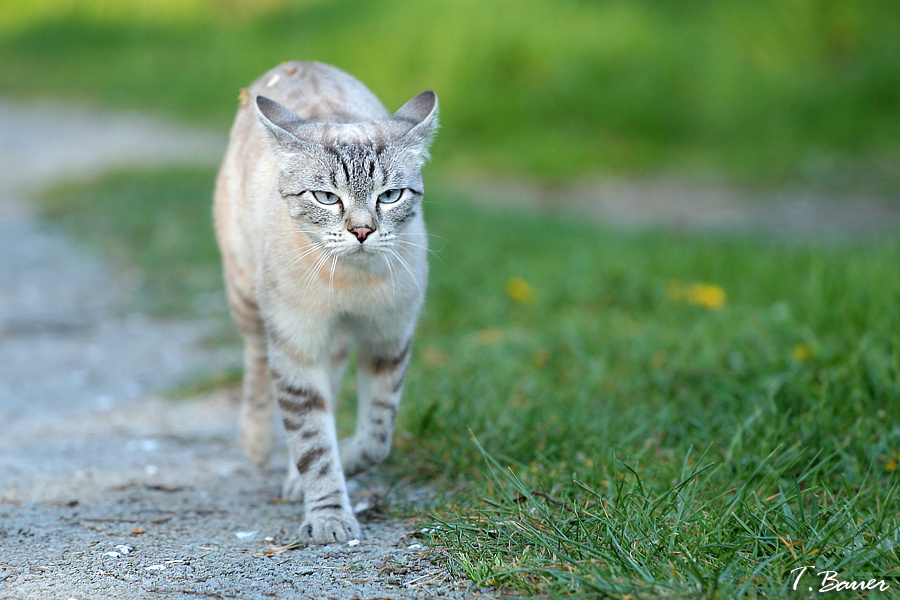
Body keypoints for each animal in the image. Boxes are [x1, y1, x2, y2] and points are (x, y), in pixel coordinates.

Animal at [211, 61, 436, 544]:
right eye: (327, 198)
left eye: (389, 196)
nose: (362, 230)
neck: (350, 284)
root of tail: (295, 63)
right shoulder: (296, 344)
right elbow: (313, 443)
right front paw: (330, 517)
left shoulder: (388, 338)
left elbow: (375, 439)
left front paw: (340, 464)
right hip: (246, 293)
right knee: (256, 358)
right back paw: (257, 440)